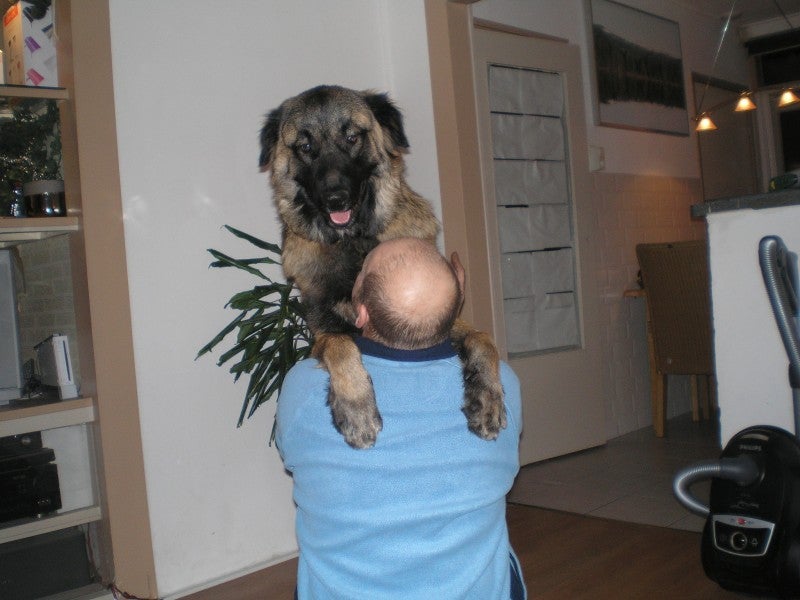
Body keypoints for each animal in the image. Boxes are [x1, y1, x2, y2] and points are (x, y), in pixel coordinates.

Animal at [259, 85, 505, 448]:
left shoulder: (450, 322)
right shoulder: (321, 330)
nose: (336, 199)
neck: (354, 243)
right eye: (305, 147)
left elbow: (483, 337)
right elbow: (341, 346)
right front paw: (357, 409)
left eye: (351, 137)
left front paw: (487, 399)